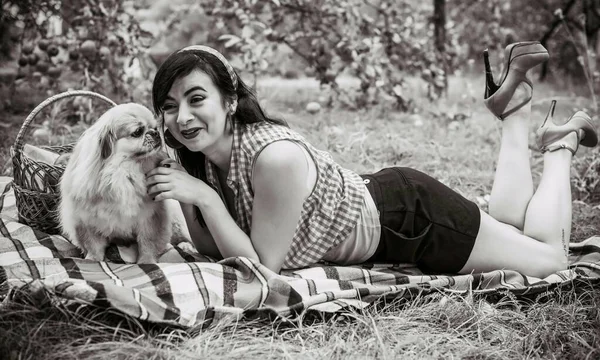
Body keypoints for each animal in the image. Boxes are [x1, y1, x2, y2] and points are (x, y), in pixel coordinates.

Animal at [60, 102, 176, 262]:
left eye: (155, 127)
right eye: (138, 131)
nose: (155, 133)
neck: (123, 173)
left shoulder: (150, 217)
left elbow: (147, 243)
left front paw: (146, 261)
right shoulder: (86, 219)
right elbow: (93, 244)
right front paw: (92, 259)